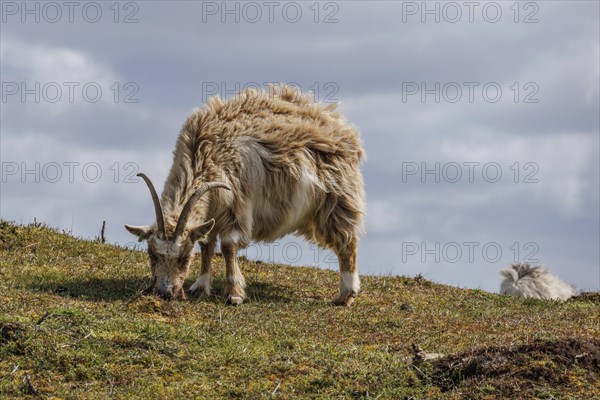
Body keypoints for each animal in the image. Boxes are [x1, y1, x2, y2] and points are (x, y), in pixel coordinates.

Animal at [124, 85, 364, 306]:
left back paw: (345, 295)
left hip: (337, 198)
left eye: (184, 258)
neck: (204, 153)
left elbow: (228, 246)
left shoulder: (235, 204)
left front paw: (234, 294)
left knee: (347, 242)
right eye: (152, 254)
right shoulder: (213, 211)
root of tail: (338, 124)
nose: (164, 293)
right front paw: (200, 286)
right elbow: (206, 245)